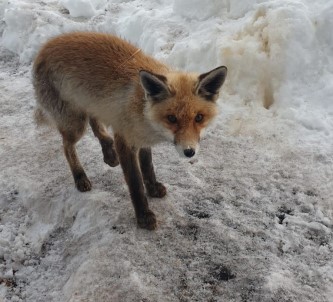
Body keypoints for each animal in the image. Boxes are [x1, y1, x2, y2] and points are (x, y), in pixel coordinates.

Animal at [32, 32, 227, 229]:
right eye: (172, 118)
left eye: (199, 118)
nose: (189, 152)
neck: (144, 110)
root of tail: (45, 47)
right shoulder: (125, 141)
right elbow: (135, 184)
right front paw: (143, 216)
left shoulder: (142, 139)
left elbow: (148, 167)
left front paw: (153, 188)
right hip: (76, 124)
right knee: (66, 147)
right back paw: (80, 176)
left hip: (92, 105)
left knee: (96, 123)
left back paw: (108, 152)